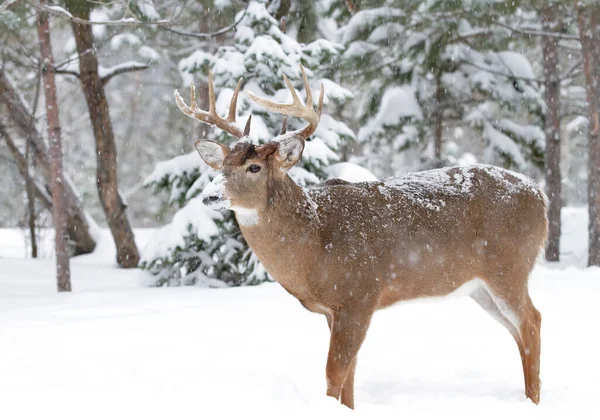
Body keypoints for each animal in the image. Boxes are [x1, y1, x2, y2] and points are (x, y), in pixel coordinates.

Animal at [173, 66, 548, 410]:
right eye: (221, 167)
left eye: (254, 168)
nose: (210, 195)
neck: (314, 244)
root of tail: (540, 197)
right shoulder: (333, 309)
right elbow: (350, 377)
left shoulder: (359, 294)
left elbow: (334, 373)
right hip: (479, 287)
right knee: (516, 329)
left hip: (509, 266)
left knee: (531, 320)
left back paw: (533, 403)